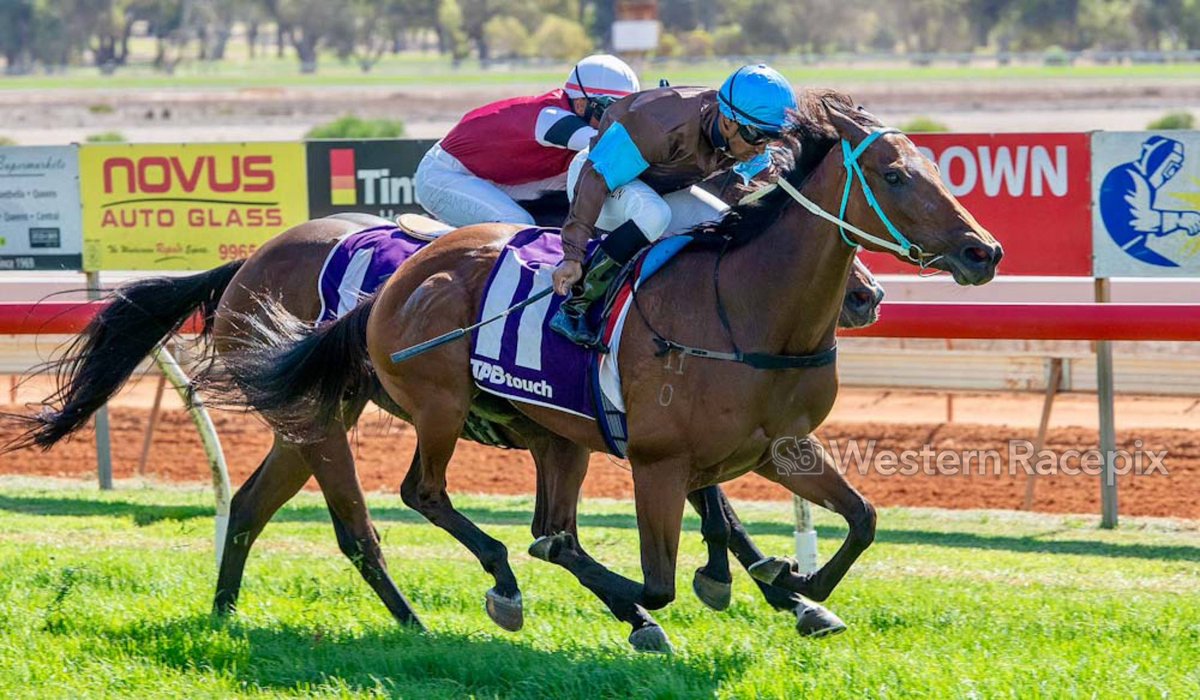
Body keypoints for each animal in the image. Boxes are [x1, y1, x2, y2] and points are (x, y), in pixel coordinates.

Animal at [206, 91, 1003, 653]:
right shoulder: (658, 458)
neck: (743, 307)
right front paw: (717, 589)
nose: (983, 252)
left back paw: (225, 610)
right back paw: (467, 599)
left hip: (356, 419)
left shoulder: (776, 447)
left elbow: (860, 519)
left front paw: (798, 588)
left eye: (939, 169)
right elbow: (658, 580)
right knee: (407, 502)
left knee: (251, 506)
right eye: (894, 176)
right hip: (425, 408)